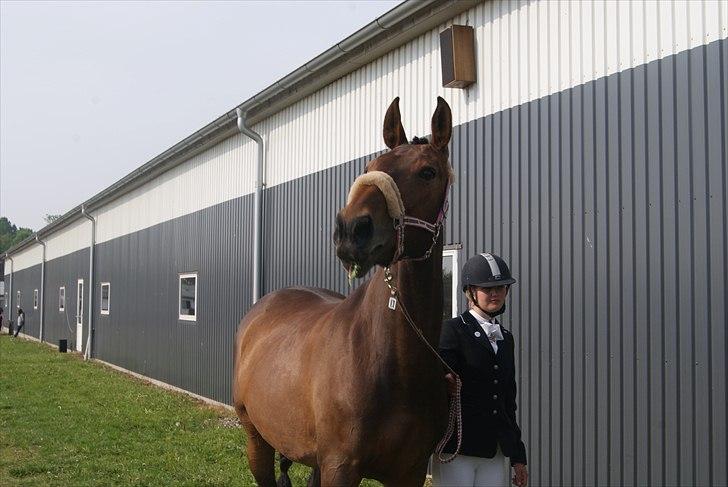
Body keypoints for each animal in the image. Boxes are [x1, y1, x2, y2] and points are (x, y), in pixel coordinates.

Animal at [235, 97, 456, 486]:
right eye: (371, 166)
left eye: (428, 172)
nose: (352, 230)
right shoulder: (341, 466)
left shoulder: (410, 472)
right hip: (256, 440)